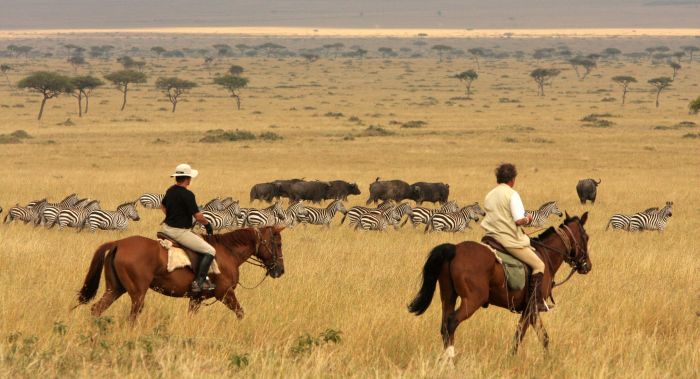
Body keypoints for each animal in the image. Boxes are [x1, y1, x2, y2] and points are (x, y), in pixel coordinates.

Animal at [75, 227, 286, 322]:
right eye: (278, 244)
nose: (280, 270)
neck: (228, 252)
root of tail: (118, 243)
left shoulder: (196, 298)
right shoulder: (226, 294)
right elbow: (241, 313)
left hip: (115, 289)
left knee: (97, 309)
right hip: (137, 293)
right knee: (133, 315)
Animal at [408, 214, 588, 360]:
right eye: (586, 237)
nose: (587, 266)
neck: (545, 255)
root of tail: (455, 248)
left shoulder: (530, 310)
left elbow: (539, 336)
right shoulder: (531, 308)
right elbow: (524, 335)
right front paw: (516, 358)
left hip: (448, 297)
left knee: (445, 325)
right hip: (472, 300)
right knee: (452, 322)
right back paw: (451, 359)